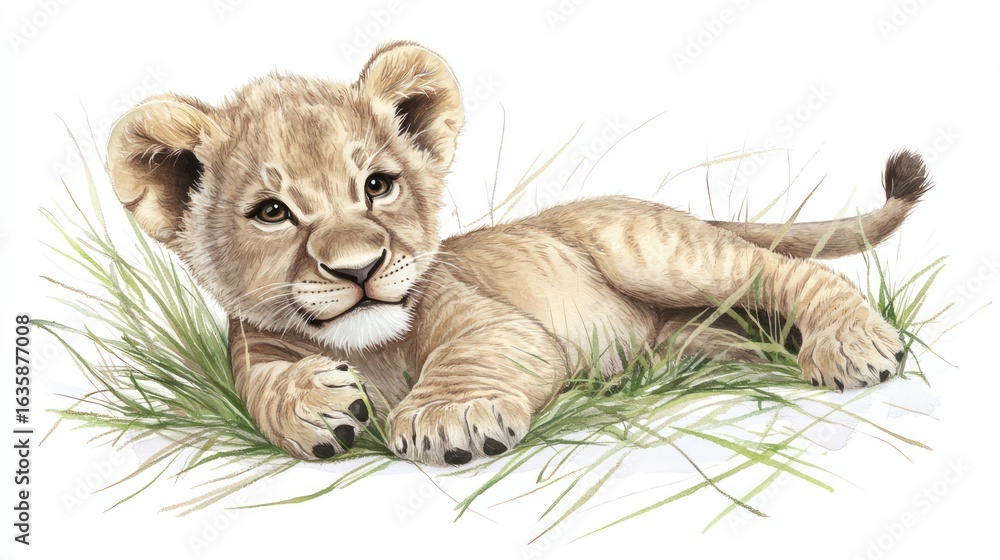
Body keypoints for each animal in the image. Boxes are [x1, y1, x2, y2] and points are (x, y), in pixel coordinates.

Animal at [106, 41, 930, 466]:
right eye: (272, 213)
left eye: (377, 185)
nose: (359, 269)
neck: (368, 351)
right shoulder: (251, 348)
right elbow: (263, 386)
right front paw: (314, 405)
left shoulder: (496, 322)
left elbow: (474, 354)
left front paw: (451, 418)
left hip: (654, 251)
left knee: (787, 271)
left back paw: (850, 344)